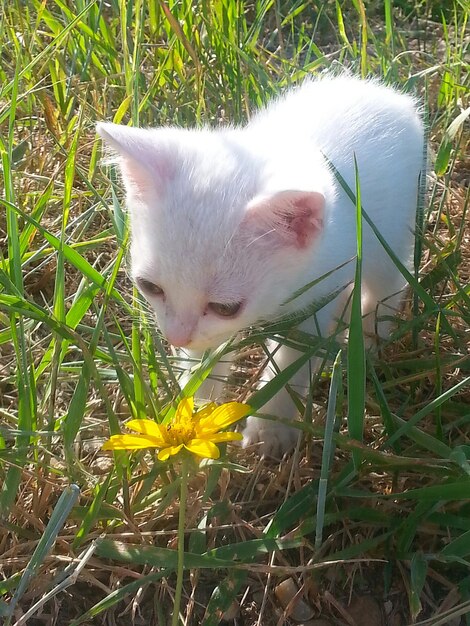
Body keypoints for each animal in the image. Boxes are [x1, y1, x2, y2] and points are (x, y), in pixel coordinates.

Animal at [97, 74, 424, 454]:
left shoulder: (318, 292)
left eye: (225, 308)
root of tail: (389, 96)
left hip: (392, 228)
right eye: (150, 288)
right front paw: (195, 415)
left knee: (389, 281)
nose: (176, 337)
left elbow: (293, 361)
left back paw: (368, 339)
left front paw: (272, 430)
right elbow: (206, 358)